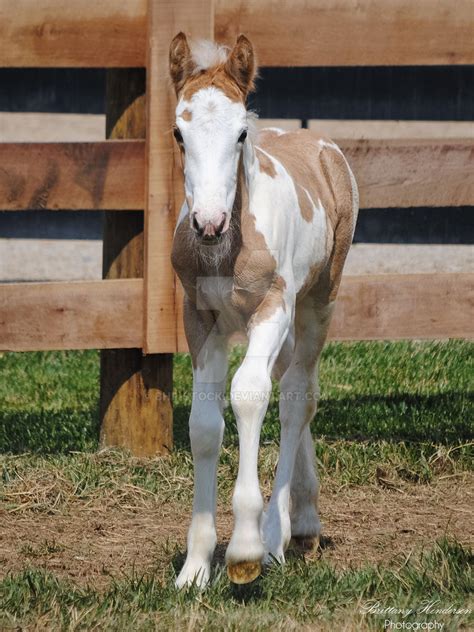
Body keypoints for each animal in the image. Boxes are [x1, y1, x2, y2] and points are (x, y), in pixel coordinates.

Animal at [168, 33, 358, 588]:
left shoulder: (272, 309)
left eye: (239, 134)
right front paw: (195, 566)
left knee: (298, 395)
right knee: (290, 382)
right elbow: (204, 424)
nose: (208, 222)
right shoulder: (198, 320)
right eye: (179, 133)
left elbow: (249, 395)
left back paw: (277, 535)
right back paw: (305, 518)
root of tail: (320, 144)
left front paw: (245, 551)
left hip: (317, 302)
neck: (225, 249)